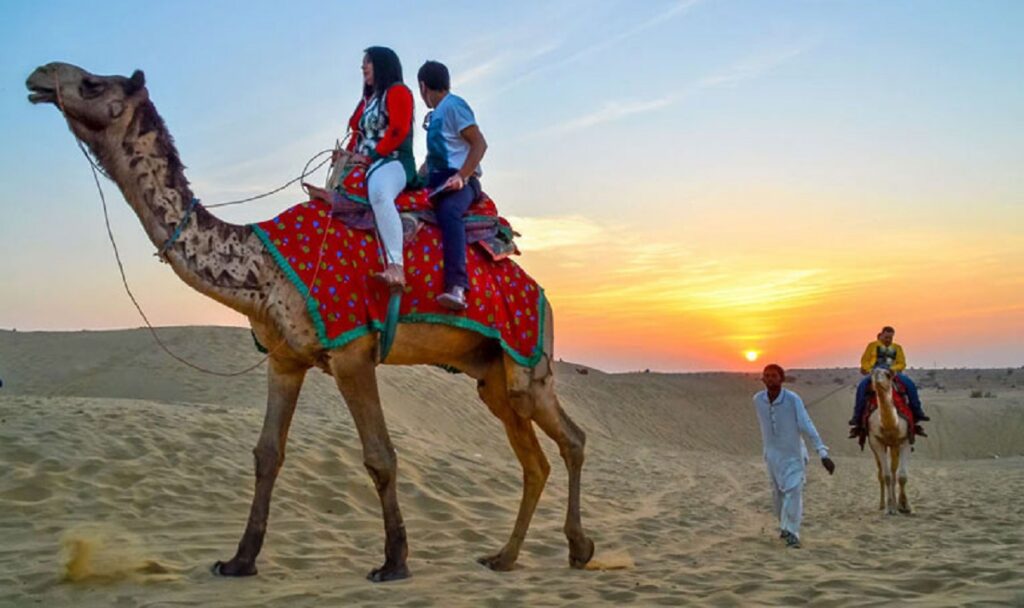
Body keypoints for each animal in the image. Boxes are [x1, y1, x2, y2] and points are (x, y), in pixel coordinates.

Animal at [25, 62, 594, 581]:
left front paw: (394, 563)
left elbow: (380, 456)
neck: (261, 266)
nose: (38, 75)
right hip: (491, 373)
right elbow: (266, 454)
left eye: (93, 84)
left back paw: (578, 549)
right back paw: (505, 556)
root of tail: (541, 293)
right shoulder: (285, 359)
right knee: (535, 459)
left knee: (571, 439)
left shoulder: (351, 351)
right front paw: (239, 560)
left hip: (527, 360)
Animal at [866, 368, 912, 515]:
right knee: (881, 473)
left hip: (894, 446)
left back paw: (896, 505)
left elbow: (902, 476)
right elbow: (885, 476)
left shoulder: (904, 440)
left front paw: (905, 506)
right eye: (872, 373)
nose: (876, 378)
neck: (890, 426)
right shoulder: (877, 442)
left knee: (894, 471)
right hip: (876, 448)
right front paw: (889, 508)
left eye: (887, 374)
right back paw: (883, 504)